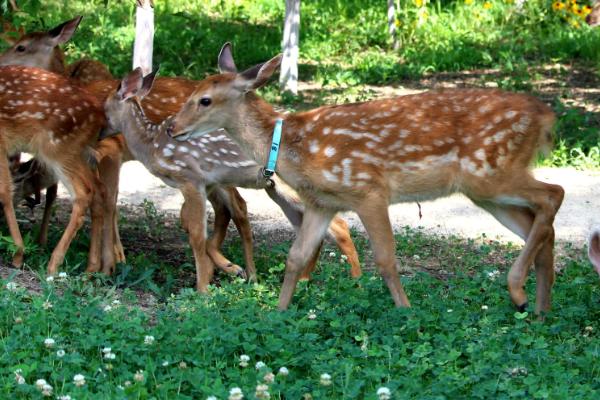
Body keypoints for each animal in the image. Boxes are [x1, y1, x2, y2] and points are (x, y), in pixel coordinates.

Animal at [0, 65, 106, 274]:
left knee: (84, 193)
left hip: (57, 147)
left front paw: (18, 254)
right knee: (100, 190)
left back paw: (54, 263)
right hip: (80, 151)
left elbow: (5, 192)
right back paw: (92, 268)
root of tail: (100, 113)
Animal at [168, 43, 568, 312]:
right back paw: (539, 310)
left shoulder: (369, 190)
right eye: (191, 92)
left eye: (204, 100)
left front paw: (406, 312)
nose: (171, 127)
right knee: (540, 224)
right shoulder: (321, 202)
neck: (293, 147)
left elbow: (386, 260)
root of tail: (546, 116)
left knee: (554, 193)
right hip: (485, 190)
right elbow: (296, 257)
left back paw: (517, 291)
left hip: (490, 172)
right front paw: (277, 314)